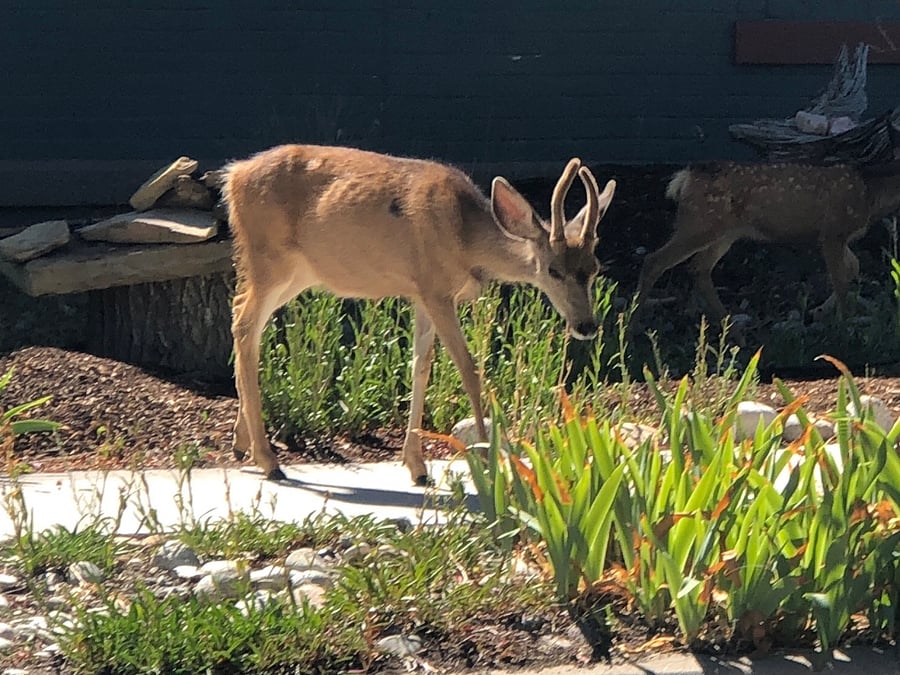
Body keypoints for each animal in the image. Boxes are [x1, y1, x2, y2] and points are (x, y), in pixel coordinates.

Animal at [221, 145, 616, 486]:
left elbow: (420, 366)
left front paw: (417, 466)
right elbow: (468, 369)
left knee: (241, 313)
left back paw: (243, 444)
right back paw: (269, 460)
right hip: (270, 258)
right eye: (553, 270)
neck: (465, 238)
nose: (586, 326)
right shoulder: (436, 289)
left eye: (594, 267)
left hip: (299, 271)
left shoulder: (420, 294)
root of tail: (233, 175)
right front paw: (488, 463)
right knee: (245, 322)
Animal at [635, 160, 900, 322]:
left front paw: (820, 311)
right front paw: (844, 323)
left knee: (698, 268)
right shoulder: (832, 231)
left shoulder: (840, 237)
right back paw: (632, 324)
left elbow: (853, 268)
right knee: (654, 260)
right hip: (700, 223)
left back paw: (730, 327)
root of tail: (685, 178)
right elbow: (841, 279)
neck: (872, 193)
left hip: (724, 232)